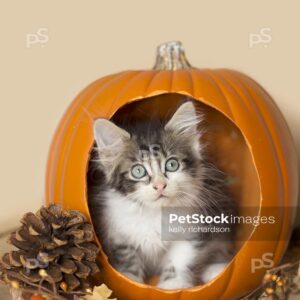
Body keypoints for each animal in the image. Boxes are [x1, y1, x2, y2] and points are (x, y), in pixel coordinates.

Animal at [88, 102, 236, 290]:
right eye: (138, 171)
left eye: (172, 165)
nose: (159, 185)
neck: (155, 212)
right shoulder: (117, 234)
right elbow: (128, 259)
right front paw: (130, 280)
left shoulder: (191, 231)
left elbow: (179, 260)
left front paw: (172, 285)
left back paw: (215, 268)